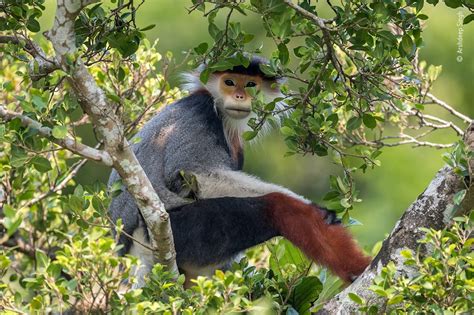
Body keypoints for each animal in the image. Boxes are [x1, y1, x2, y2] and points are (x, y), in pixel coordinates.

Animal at [108, 55, 370, 288]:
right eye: (230, 82)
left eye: (251, 84)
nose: (239, 96)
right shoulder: (199, 111)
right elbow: (192, 171)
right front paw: (311, 205)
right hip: (178, 231)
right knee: (278, 207)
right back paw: (358, 268)